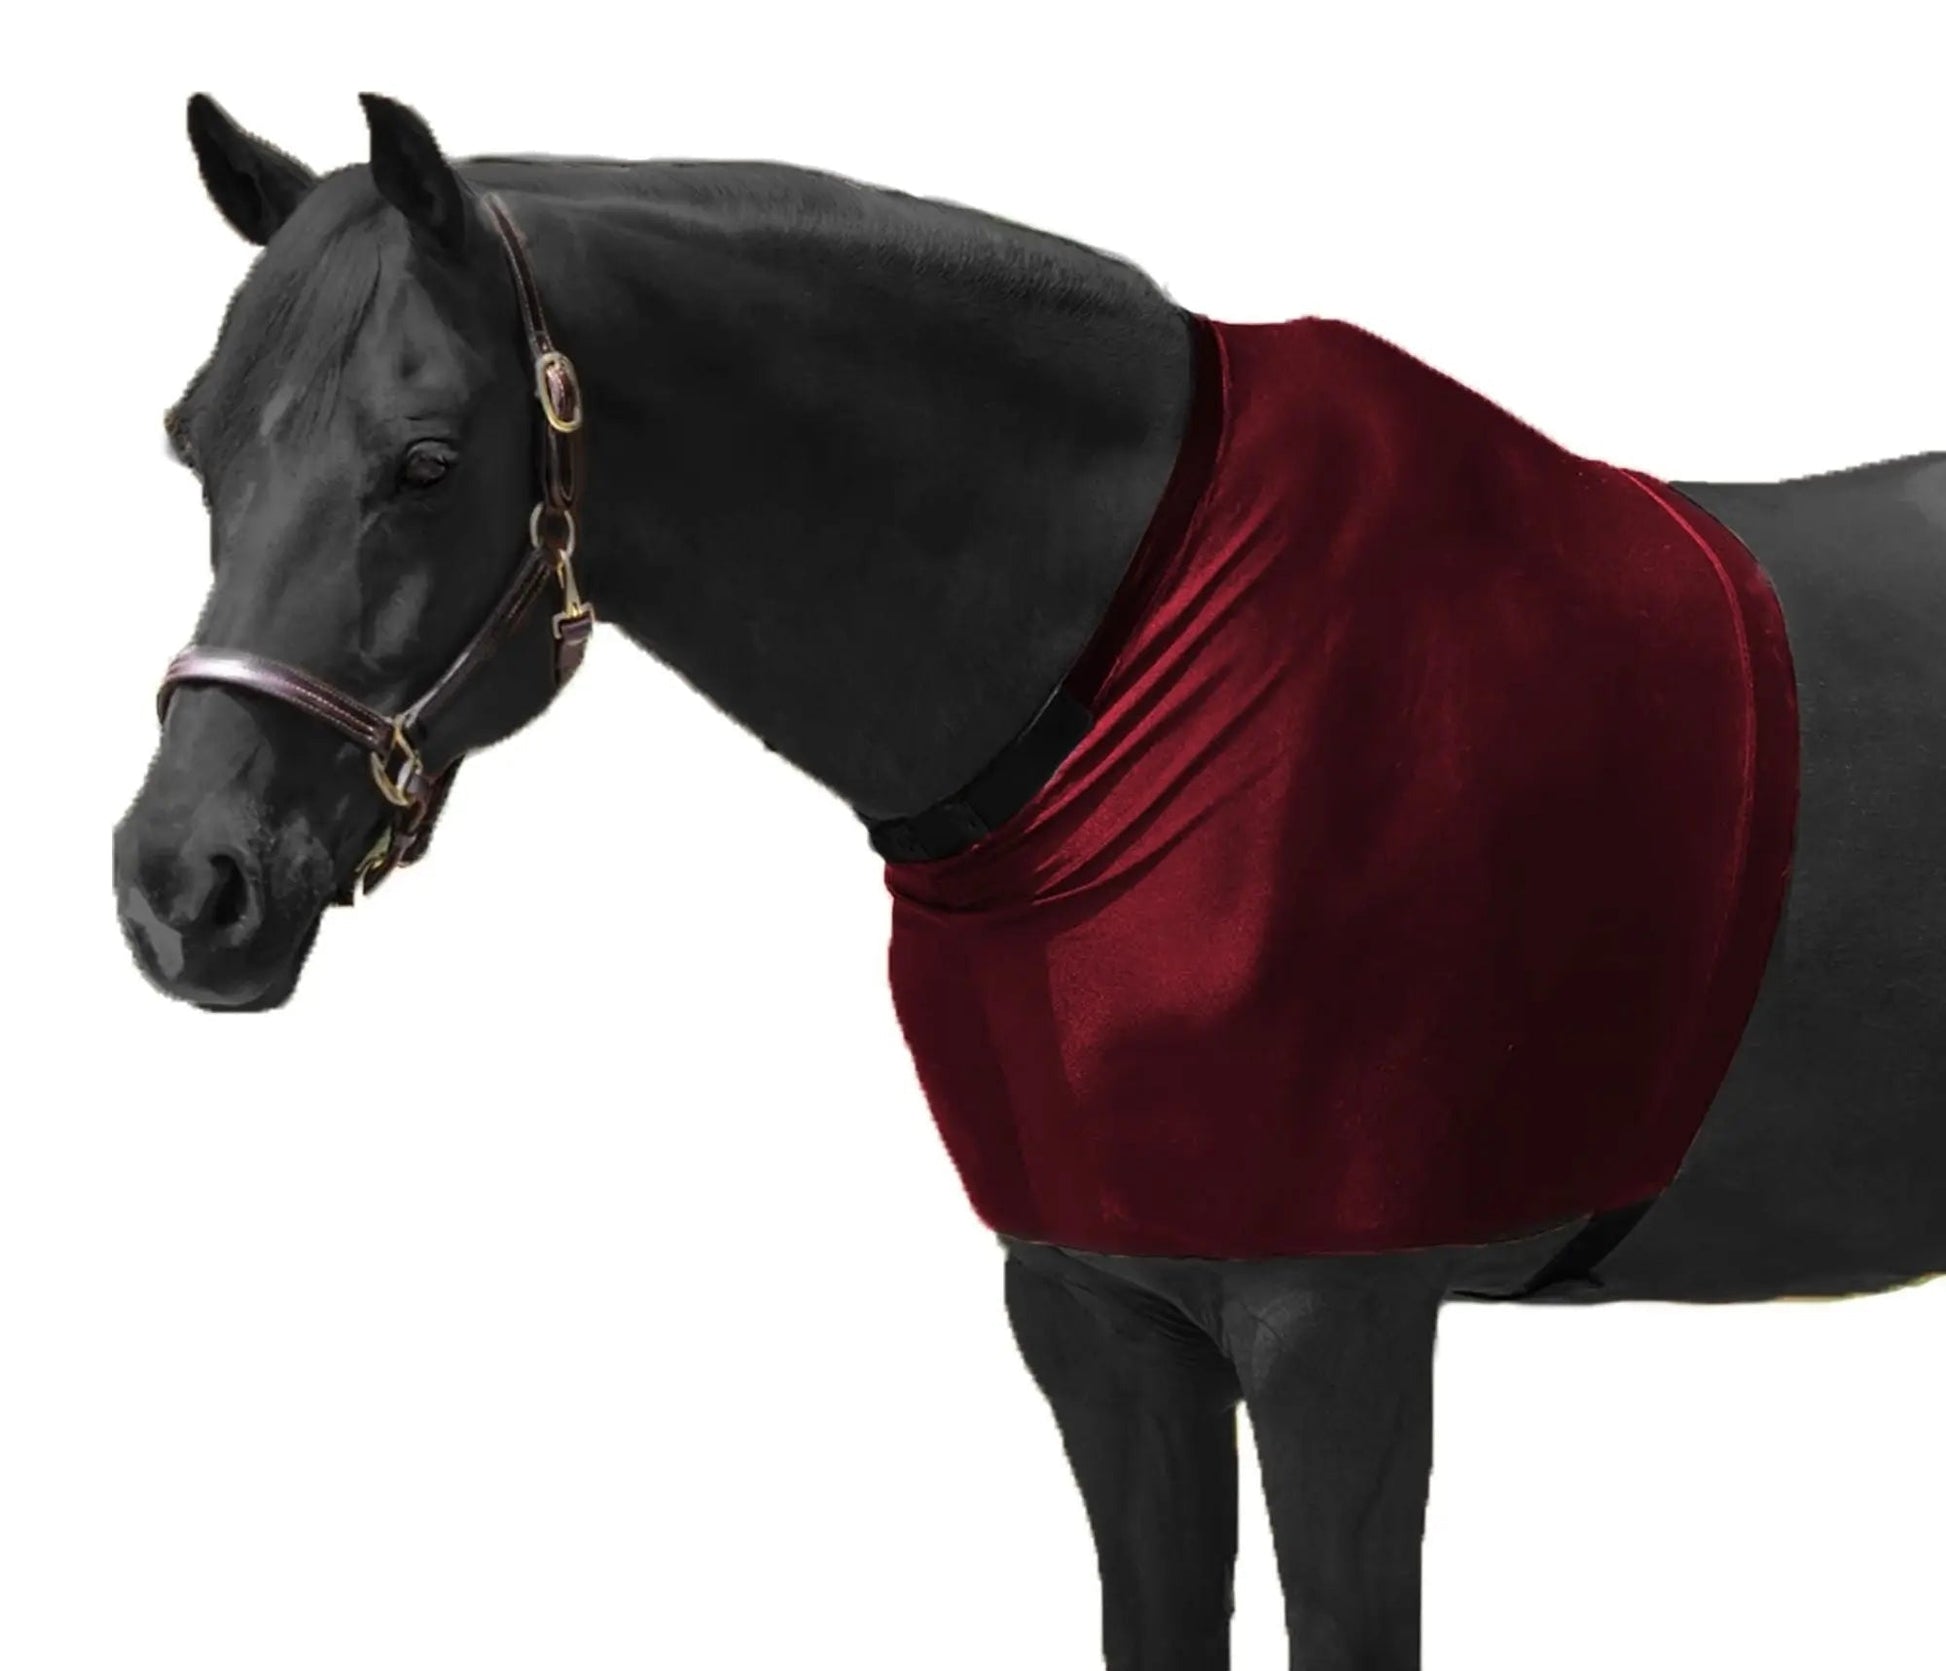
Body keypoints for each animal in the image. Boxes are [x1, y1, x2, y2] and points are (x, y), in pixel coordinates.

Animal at [112, 93, 1945, 1671]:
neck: (1132, 673)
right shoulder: (1097, 1311)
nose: (182, 883)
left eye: (426, 459)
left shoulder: (1337, 1328)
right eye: (192, 445)